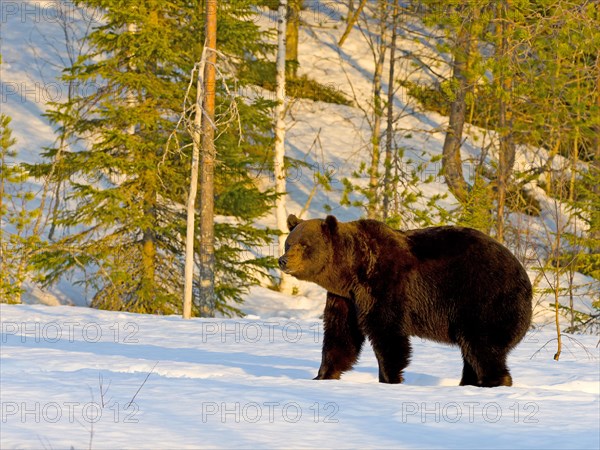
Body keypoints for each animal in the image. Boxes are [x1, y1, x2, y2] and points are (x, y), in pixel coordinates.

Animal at [278, 214, 532, 386]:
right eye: (288, 242)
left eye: (304, 244)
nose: (283, 260)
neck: (351, 271)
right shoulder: (345, 298)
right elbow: (341, 335)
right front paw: (323, 375)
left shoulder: (385, 283)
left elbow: (387, 333)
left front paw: (390, 378)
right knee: (471, 354)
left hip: (483, 299)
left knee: (482, 346)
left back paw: (494, 381)